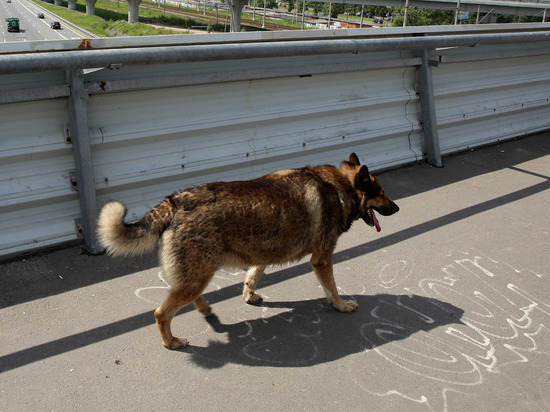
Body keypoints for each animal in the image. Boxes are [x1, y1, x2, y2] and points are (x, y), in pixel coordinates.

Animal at [98, 153, 402, 350]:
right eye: (381, 193)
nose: (397, 208)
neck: (339, 187)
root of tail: (176, 201)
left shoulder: (263, 255)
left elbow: (252, 277)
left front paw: (248, 295)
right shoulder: (322, 259)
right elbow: (332, 289)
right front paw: (340, 305)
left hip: (198, 274)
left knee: (189, 298)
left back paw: (204, 309)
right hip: (197, 275)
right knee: (162, 313)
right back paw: (171, 342)